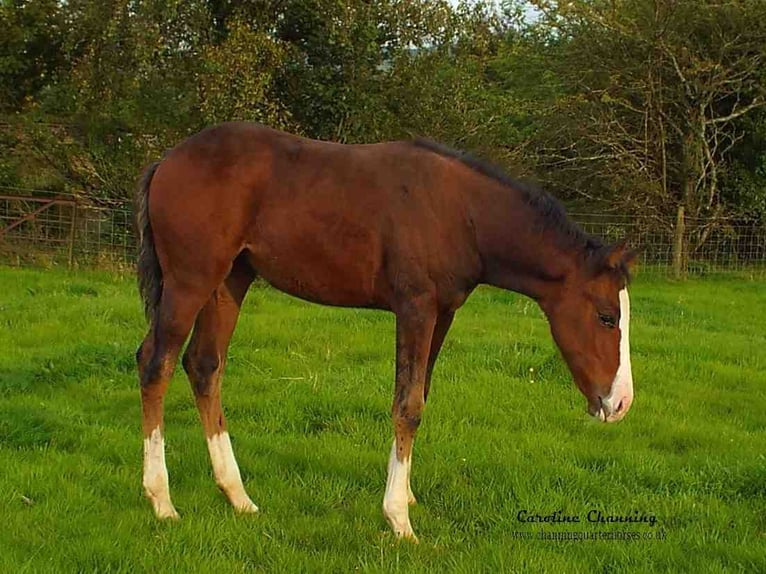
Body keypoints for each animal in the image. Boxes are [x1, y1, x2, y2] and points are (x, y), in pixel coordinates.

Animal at [135, 122, 640, 544]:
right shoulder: (415, 307)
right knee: (156, 363)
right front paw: (399, 518)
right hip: (190, 280)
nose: (619, 404)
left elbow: (421, 395)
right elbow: (407, 405)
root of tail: (167, 161)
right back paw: (162, 502)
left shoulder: (443, 313)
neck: (463, 214)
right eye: (606, 317)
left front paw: (408, 494)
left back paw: (237, 496)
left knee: (204, 366)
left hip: (230, 280)